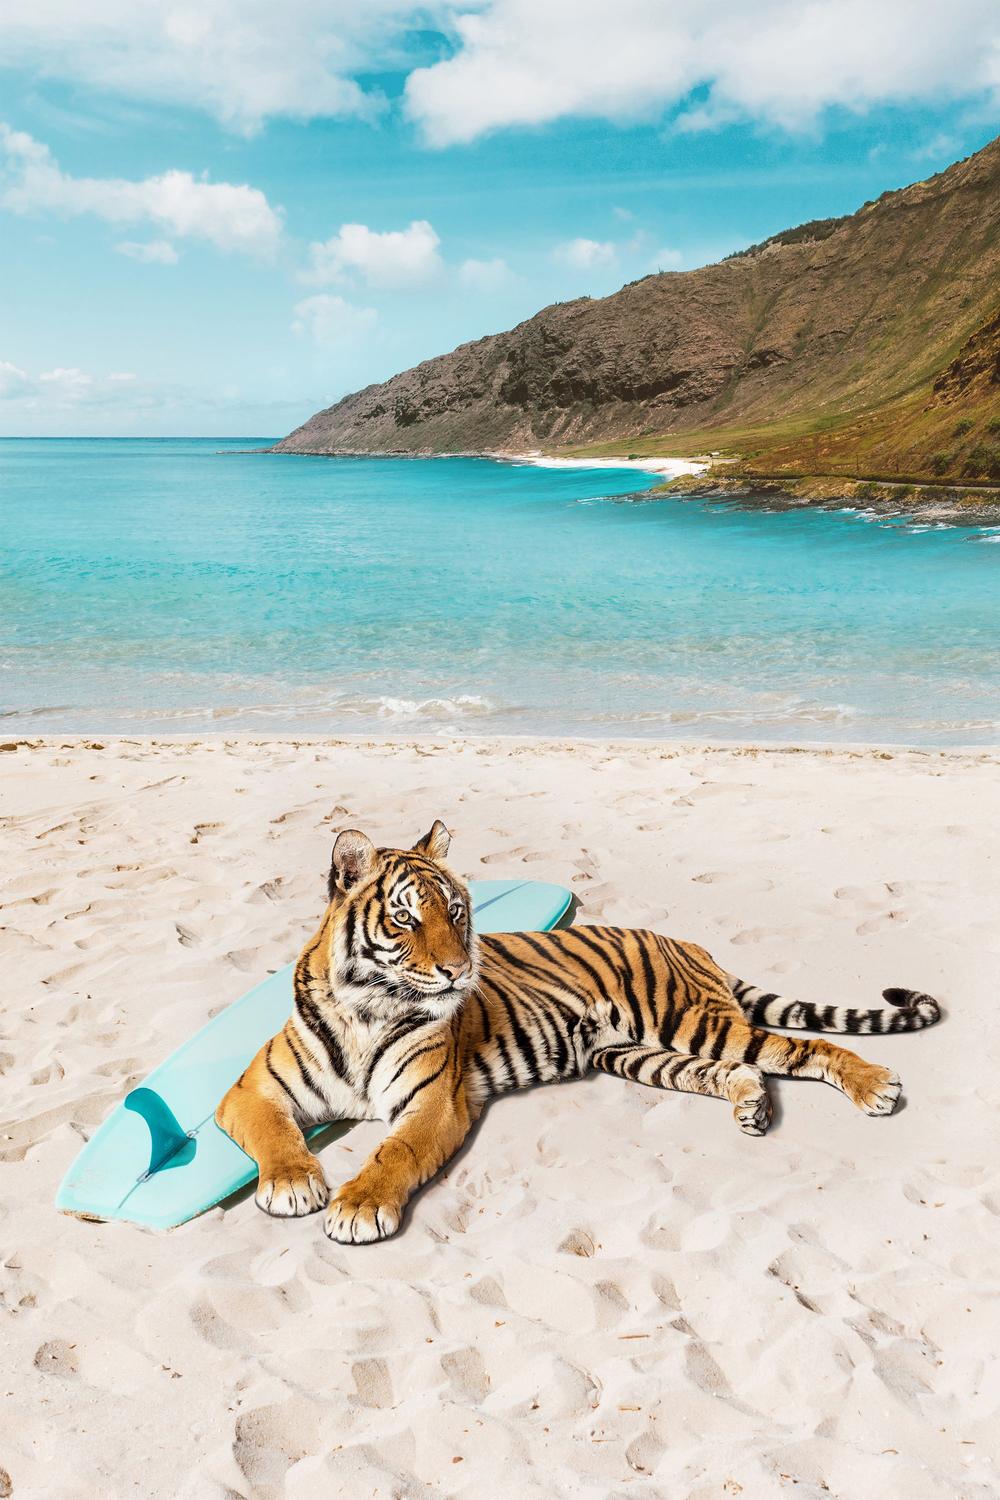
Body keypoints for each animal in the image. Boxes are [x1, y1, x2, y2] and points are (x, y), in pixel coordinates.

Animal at [216, 821, 941, 1244]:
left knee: (804, 1047)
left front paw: (358, 1206)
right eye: (405, 919)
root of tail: (690, 943)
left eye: (457, 911)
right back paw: (752, 1107)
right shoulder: (250, 1092)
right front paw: (292, 1184)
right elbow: (275, 1134)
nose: (459, 969)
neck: (368, 1008)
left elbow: (394, 1153)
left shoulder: (432, 1103)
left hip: (691, 1021)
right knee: (741, 1070)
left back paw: (874, 1087)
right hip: (638, 1054)